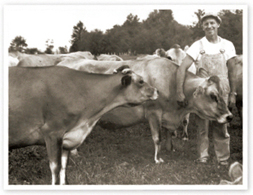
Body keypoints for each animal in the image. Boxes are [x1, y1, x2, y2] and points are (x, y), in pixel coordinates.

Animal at [9, 65, 158, 184]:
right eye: (141, 81)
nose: (157, 90)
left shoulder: (67, 140)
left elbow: (63, 170)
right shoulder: (52, 132)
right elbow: (56, 170)